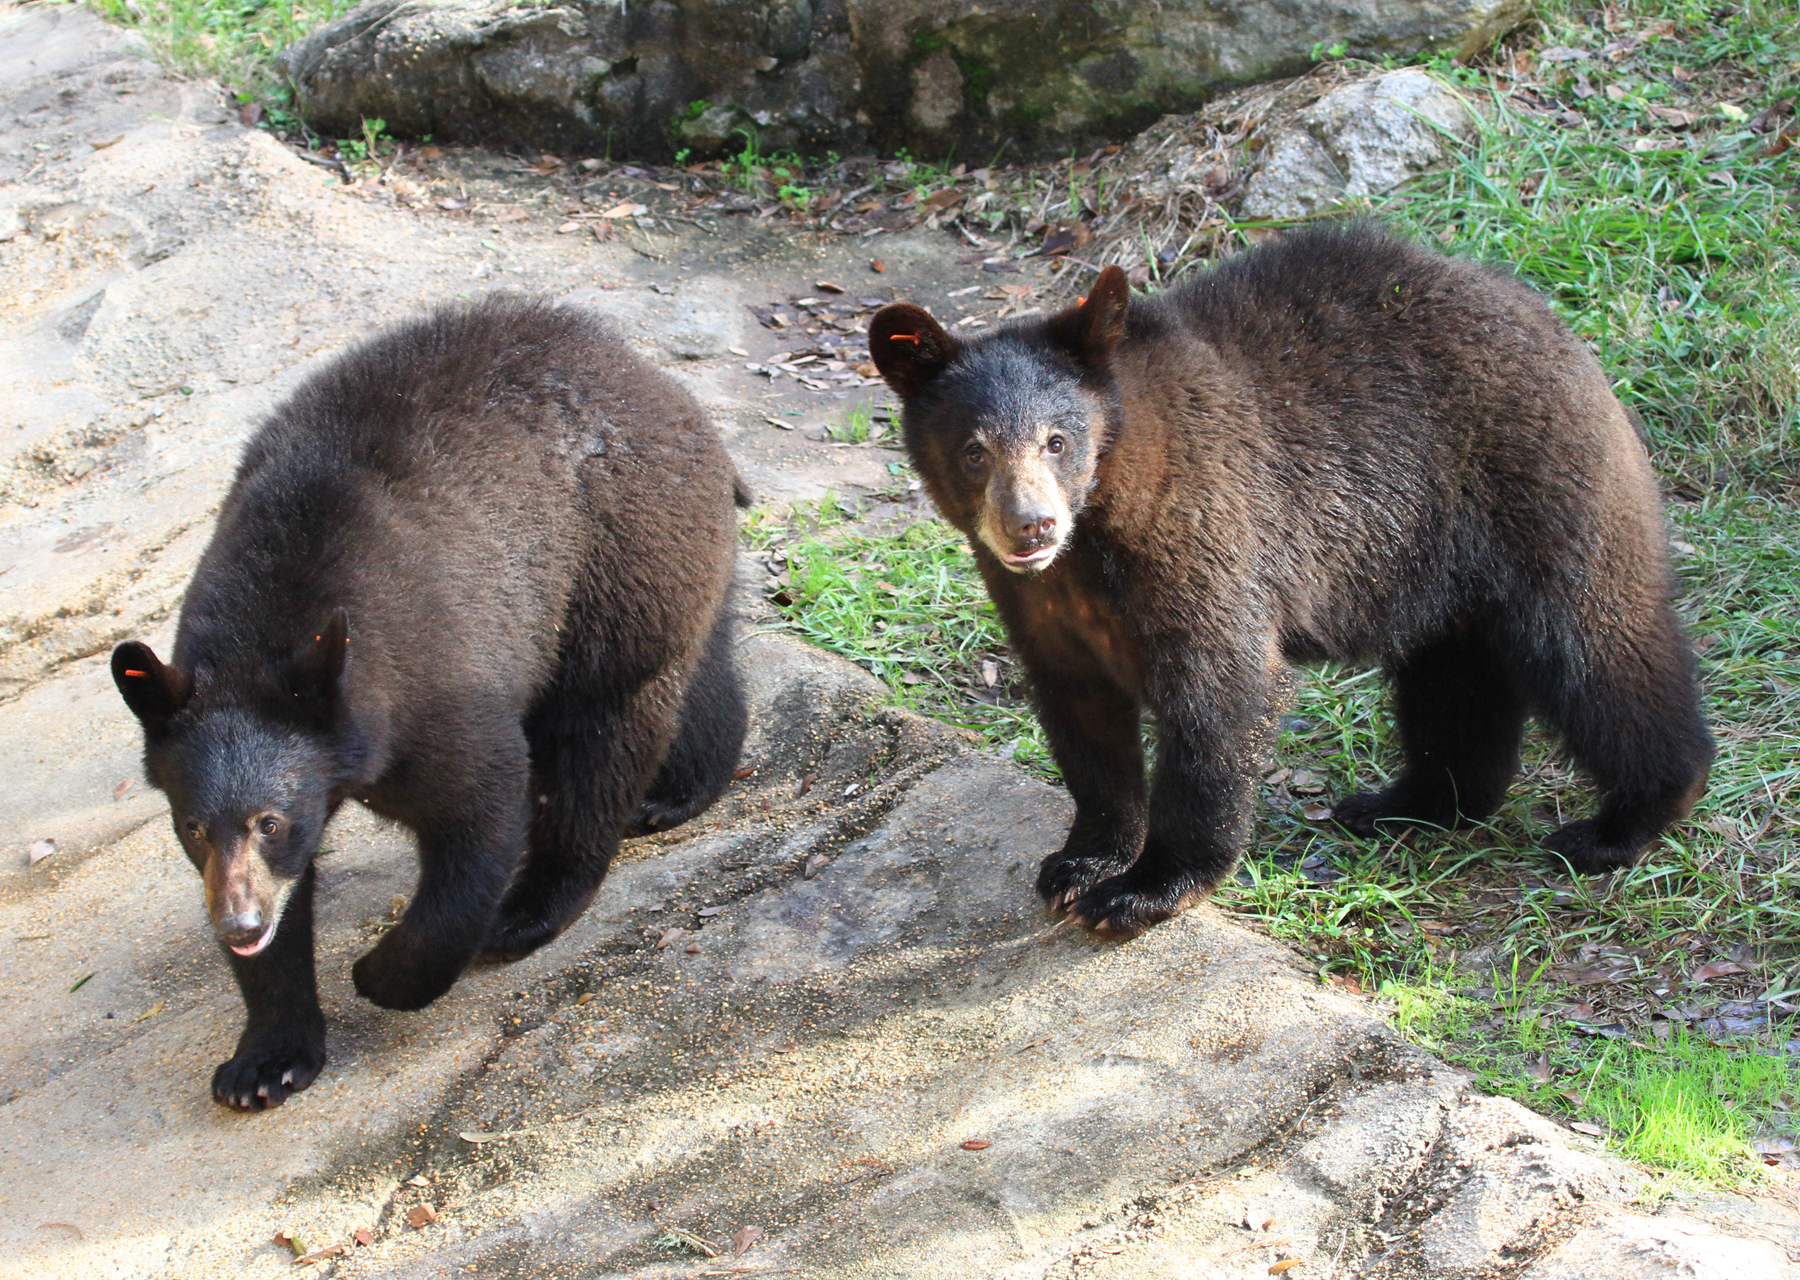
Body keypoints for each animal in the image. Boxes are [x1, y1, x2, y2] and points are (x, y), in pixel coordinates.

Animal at [112, 295, 745, 1108]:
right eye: (191, 826)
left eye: (270, 821)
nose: (239, 925)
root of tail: (668, 388)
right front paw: (264, 1061)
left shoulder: (426, 674)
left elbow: (476, 809)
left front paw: (384, 973)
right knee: (698, 660)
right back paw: (683, 787)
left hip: (612, 556)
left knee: (599, 736)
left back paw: (540, 900)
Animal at [871, 223, 1713, 928]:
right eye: (974, 449)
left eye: (1056, 440)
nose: (1032, 526)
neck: (1093, 543)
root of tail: (1555, 321)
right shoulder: (1039, 603)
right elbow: (1082, 716)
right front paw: (1081, 862)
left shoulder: (1202, 532)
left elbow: (1217, 695)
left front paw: (1145, 890)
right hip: (1442, 569)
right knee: (1454, 684)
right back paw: (1410, 803)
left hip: (1537, 490)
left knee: (1596, 647)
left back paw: (1623, 822)